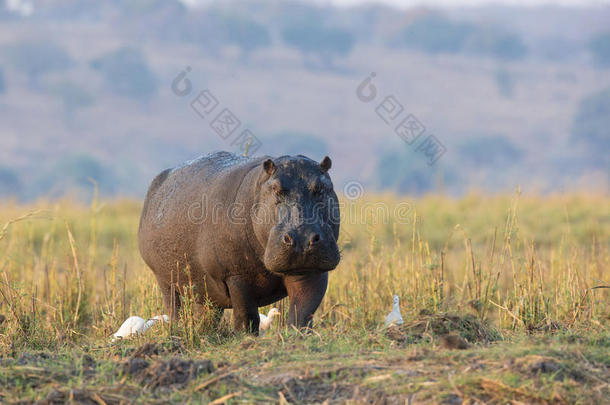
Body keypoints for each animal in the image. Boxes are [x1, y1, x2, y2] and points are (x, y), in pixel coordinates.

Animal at [138, 150, 340, 332]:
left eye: (323, 187)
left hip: (205, 289)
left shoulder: (312, 270)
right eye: (275, 188)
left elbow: (303, 313)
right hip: (165, 280)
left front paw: (297, 337)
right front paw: (245, 338)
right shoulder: (236, 275)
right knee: (174, 309)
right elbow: (246, 316)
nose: (302, 237)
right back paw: (177, 331)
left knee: (208, 313)